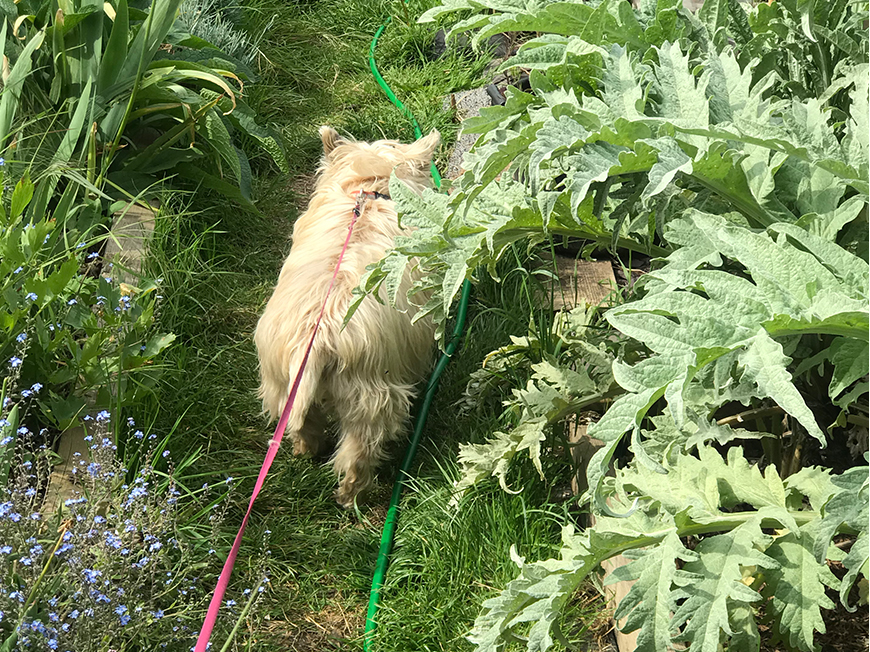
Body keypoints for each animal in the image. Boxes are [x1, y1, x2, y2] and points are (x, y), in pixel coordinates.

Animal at [255, 126, 440, 504]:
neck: (370, 189)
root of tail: (315, 343)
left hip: (280, 384)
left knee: (303, 427)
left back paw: (305, 452)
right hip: (372, 400)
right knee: (358, 451)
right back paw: (352, 495)